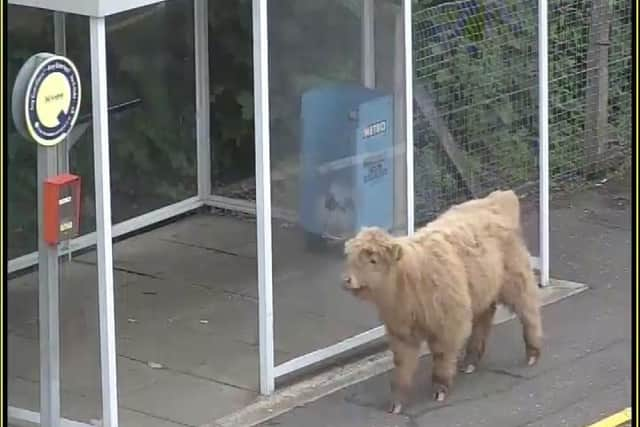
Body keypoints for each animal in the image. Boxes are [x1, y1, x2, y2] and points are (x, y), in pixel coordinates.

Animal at [342, 190, 544, 414]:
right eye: (350, 258)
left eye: (373, 260)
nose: (347, 280)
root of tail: (496, 199)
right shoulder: (401, 332)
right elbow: (402, 365)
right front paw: (397, 402)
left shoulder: (448, 323)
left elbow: (442, 356)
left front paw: (440, 389)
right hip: (481, 290)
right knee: (484, 318)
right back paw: (471, 361)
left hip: (515, 278)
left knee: (528, 310)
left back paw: (533, 352)